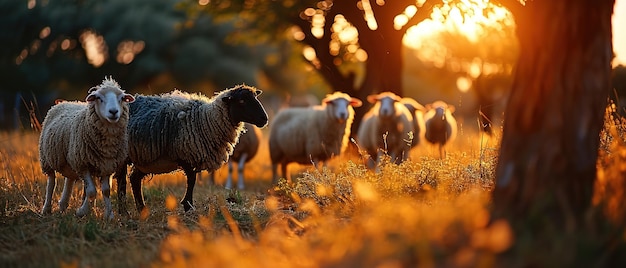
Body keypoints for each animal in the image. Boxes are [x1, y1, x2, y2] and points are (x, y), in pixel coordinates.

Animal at [39, 77, 135, 220]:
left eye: (122, 98)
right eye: (99, 98)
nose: (113, 112)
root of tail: (65, 102)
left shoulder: (107, 166)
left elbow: (106, 191)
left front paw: (109, 215)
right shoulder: (83, 165)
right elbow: (91, 191)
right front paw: (82, 211)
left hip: (70, 160)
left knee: (69, 180)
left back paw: (63, 205)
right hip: (47, 159)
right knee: (51, 183)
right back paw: (46, 209)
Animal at [114, 85, 266, 215]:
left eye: (255, 97)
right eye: (241, 101)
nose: (265, 119)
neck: (206, 120)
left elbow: (192, 180)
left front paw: (188, 205)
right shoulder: (185, 154)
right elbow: (192, 180)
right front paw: (188, 205)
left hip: (145, 159)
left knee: (134, 179)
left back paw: (141, 209)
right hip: (123, 155)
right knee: (122, 181)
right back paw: (124, 212)